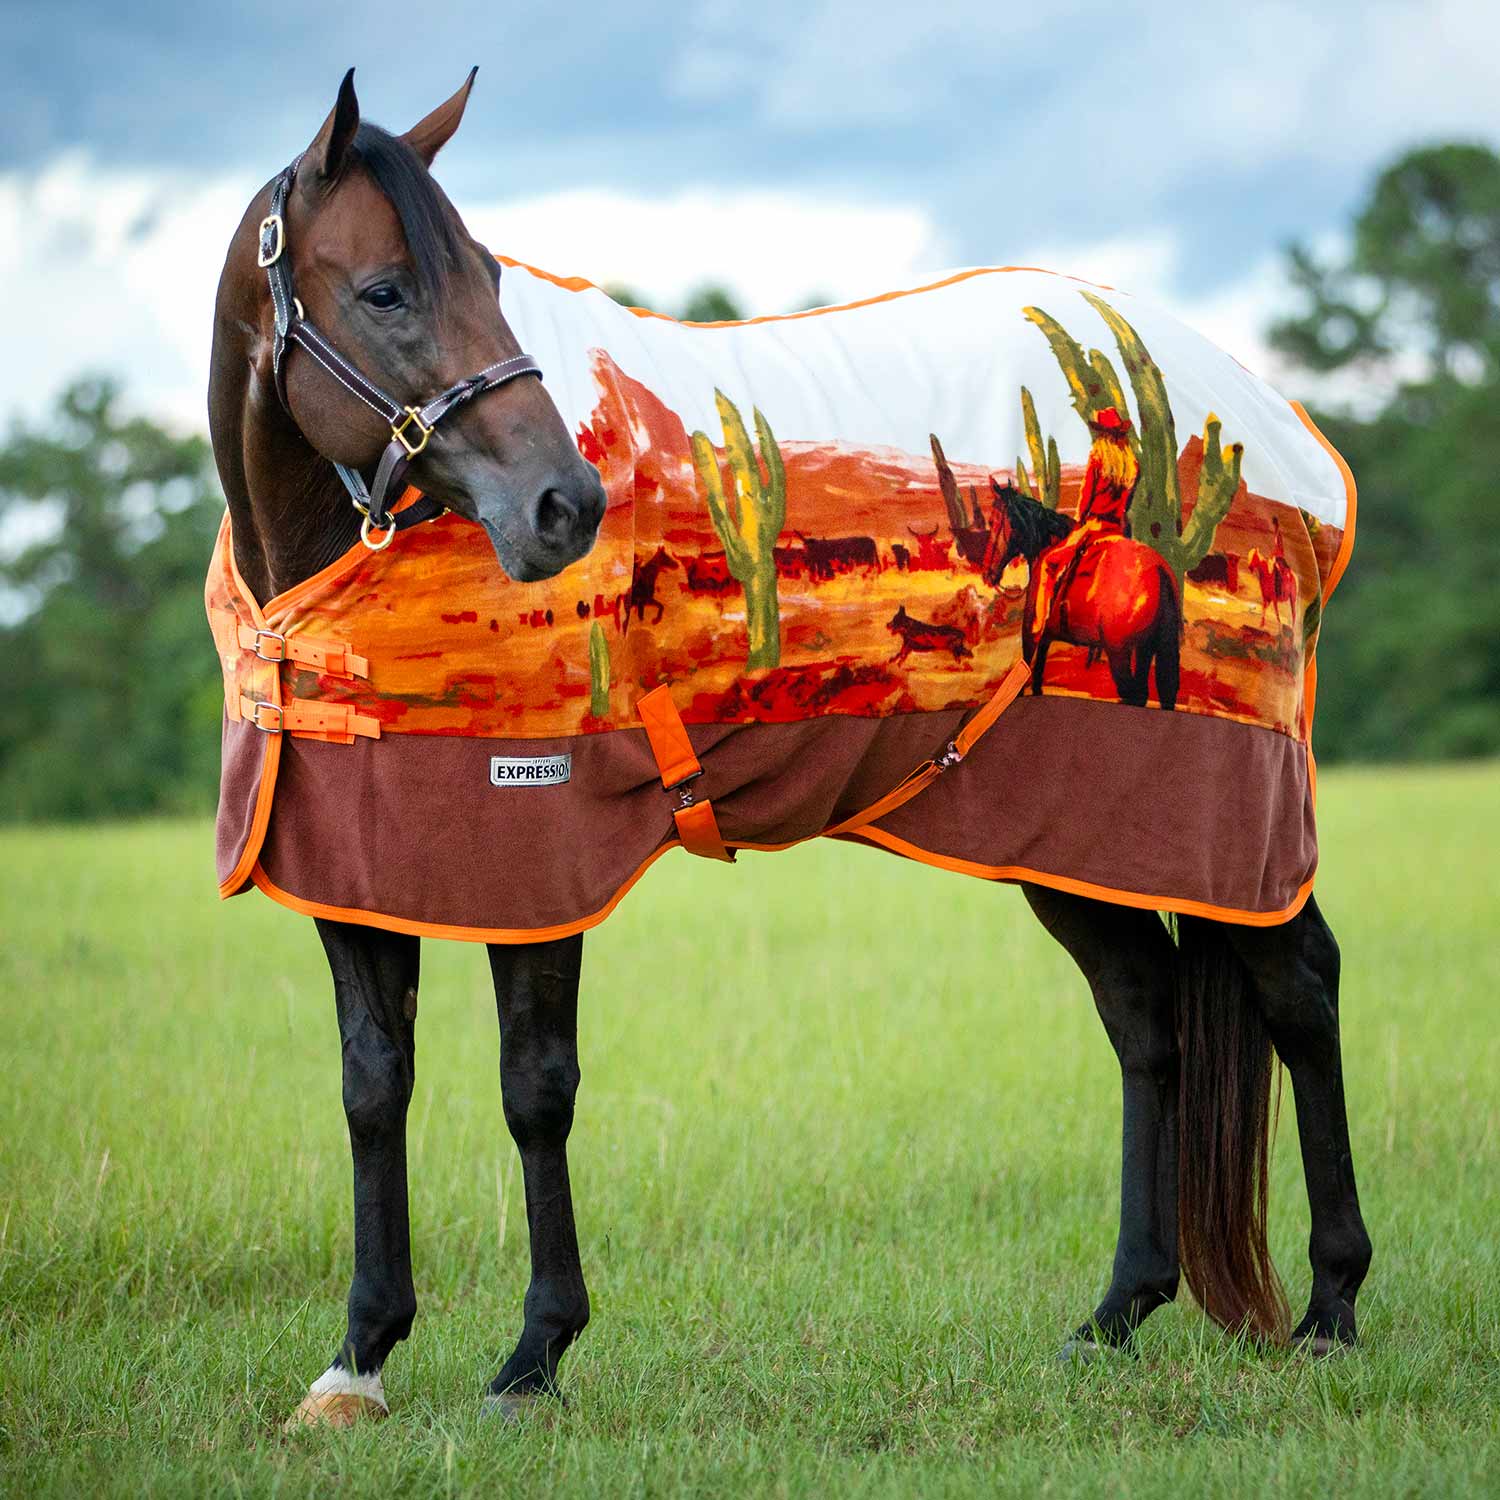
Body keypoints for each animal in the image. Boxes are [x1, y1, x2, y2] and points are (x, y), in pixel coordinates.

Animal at [982, 481, 1182, 711]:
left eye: (992, 521)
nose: (987, 573)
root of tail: (1159, 569)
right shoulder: (1046, 638)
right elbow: (1038, 679)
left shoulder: (1031, 637)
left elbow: (1029, 679)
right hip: (1145, 648)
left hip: (1119, 652)